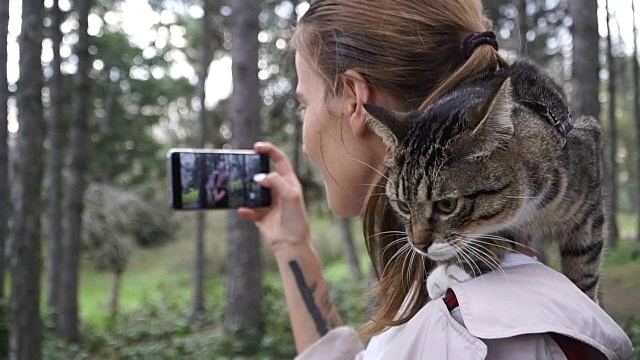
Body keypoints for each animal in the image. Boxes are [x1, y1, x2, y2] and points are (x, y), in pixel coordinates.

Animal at [364, 61, 604, 300]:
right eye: (403, 206)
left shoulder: (589, 199)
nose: (419, 245)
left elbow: (584, 267)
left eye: (447, 205)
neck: (531, 208)